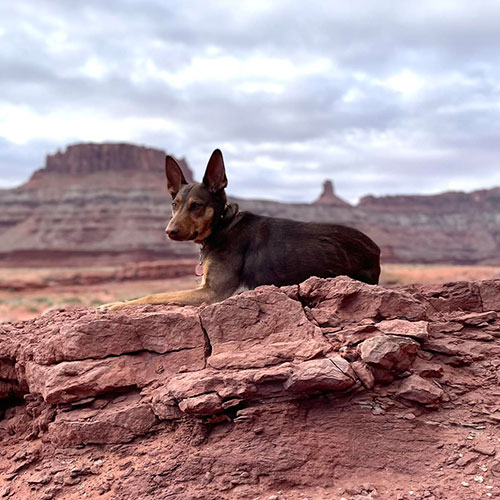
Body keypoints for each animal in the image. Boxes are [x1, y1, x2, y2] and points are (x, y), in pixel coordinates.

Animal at [102, 150, 382, 310]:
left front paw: (114, 305)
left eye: (197, 206)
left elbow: (153, 295)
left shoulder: (212, 293)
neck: (222, 226)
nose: (169, 232)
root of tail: (375, 249)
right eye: (175, 204)